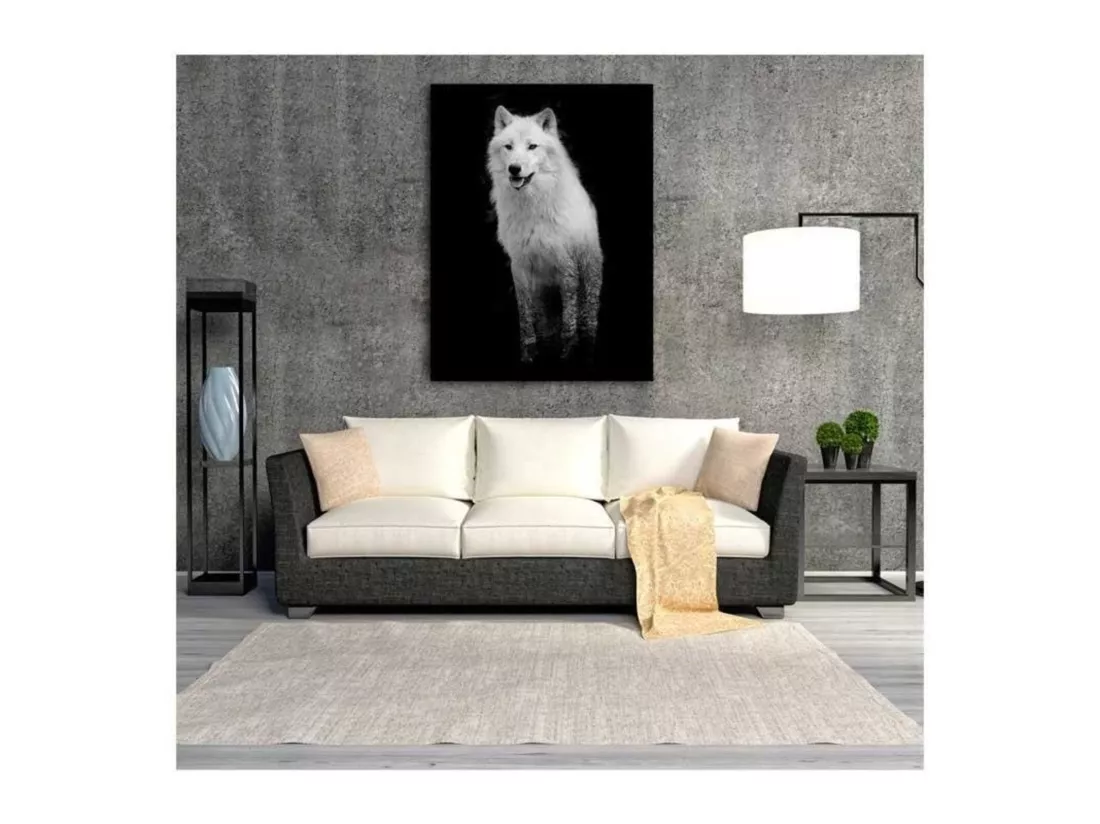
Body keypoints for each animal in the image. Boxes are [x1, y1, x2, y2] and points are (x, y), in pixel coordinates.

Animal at [487, 105, 603, 364]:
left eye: (532, 146)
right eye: (508, 147)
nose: (514, 169)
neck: (532, 203)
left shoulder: (566, 263)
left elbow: (569, 316)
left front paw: (568, 352)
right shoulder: (519, 265)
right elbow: (525, 315)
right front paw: (528, 352)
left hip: (589, 275)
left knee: (587, 318)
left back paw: (586, 342)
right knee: (543, 321)